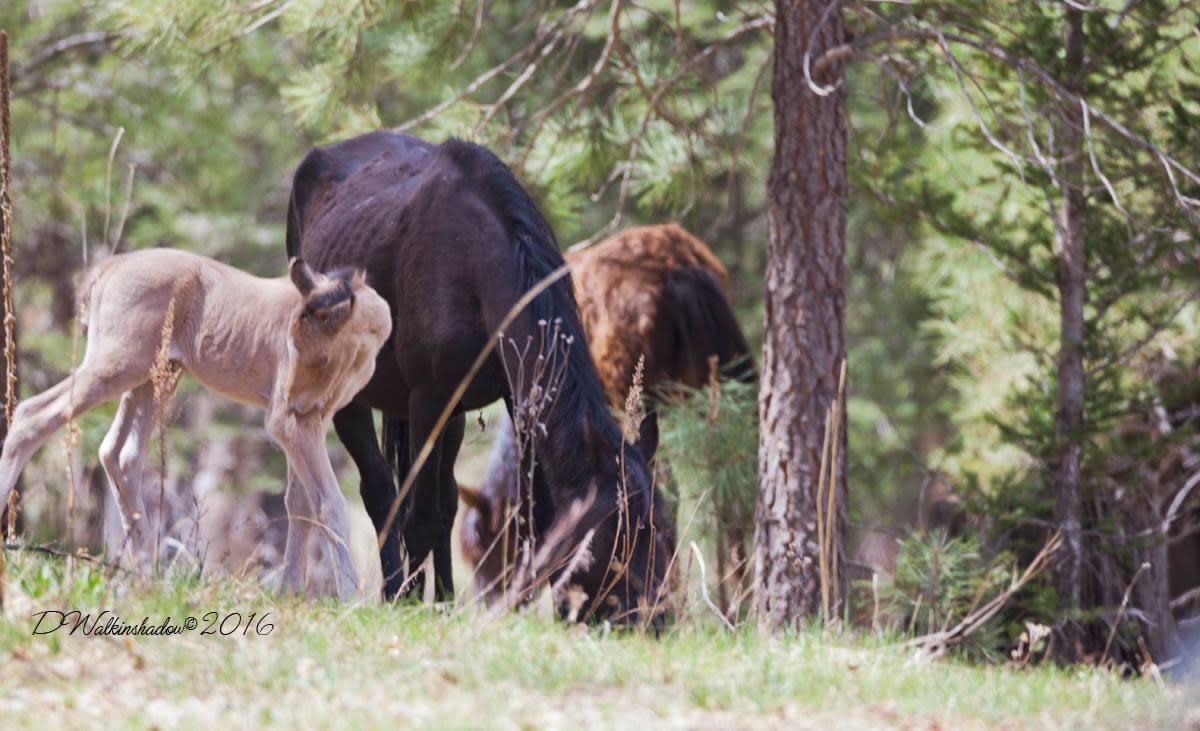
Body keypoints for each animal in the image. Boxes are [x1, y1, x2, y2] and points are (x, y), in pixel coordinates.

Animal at [0, 250, 392, 598]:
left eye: (321, 357)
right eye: (291, 348)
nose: (289, 403)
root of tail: (107, 270)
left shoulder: (314, 421)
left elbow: (300, 503)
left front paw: (291, 593)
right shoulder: (294, 426)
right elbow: (329, 504)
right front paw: (350, 600)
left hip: (154, 375)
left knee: (118, 453)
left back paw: (145, 574)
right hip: (117, 365)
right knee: (31, 416)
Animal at [285, 131, 672, 621]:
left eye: (662, 529)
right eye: (616, 534)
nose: (654, 619)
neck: (477, 261)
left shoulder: (515, 397)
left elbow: (528, 514)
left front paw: (508, 605)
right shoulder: (428, 399)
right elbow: (420, 512)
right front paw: (413, 600)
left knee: (441, 498)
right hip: (353, 398)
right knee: (381, 491)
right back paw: (395, 591)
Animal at [458, 224, 754, 603]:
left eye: (487, 549)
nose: (485, 601)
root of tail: (681, 269)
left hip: (640, 393)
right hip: (717, 379)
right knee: (731, 483)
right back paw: (737, 601)